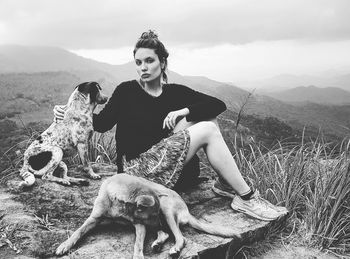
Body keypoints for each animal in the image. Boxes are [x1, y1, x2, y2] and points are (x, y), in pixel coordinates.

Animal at [55, 174, 241, 258]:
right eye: (152, 214)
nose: (158, 221)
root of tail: (187, 209)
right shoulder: (94, 218)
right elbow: (77, 231)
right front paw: (64, 245)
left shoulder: (140, 225)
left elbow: (138, 244)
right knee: (165, 233)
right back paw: (158, 243)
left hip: (167, 210)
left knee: (179, 237)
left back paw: (173, 247)